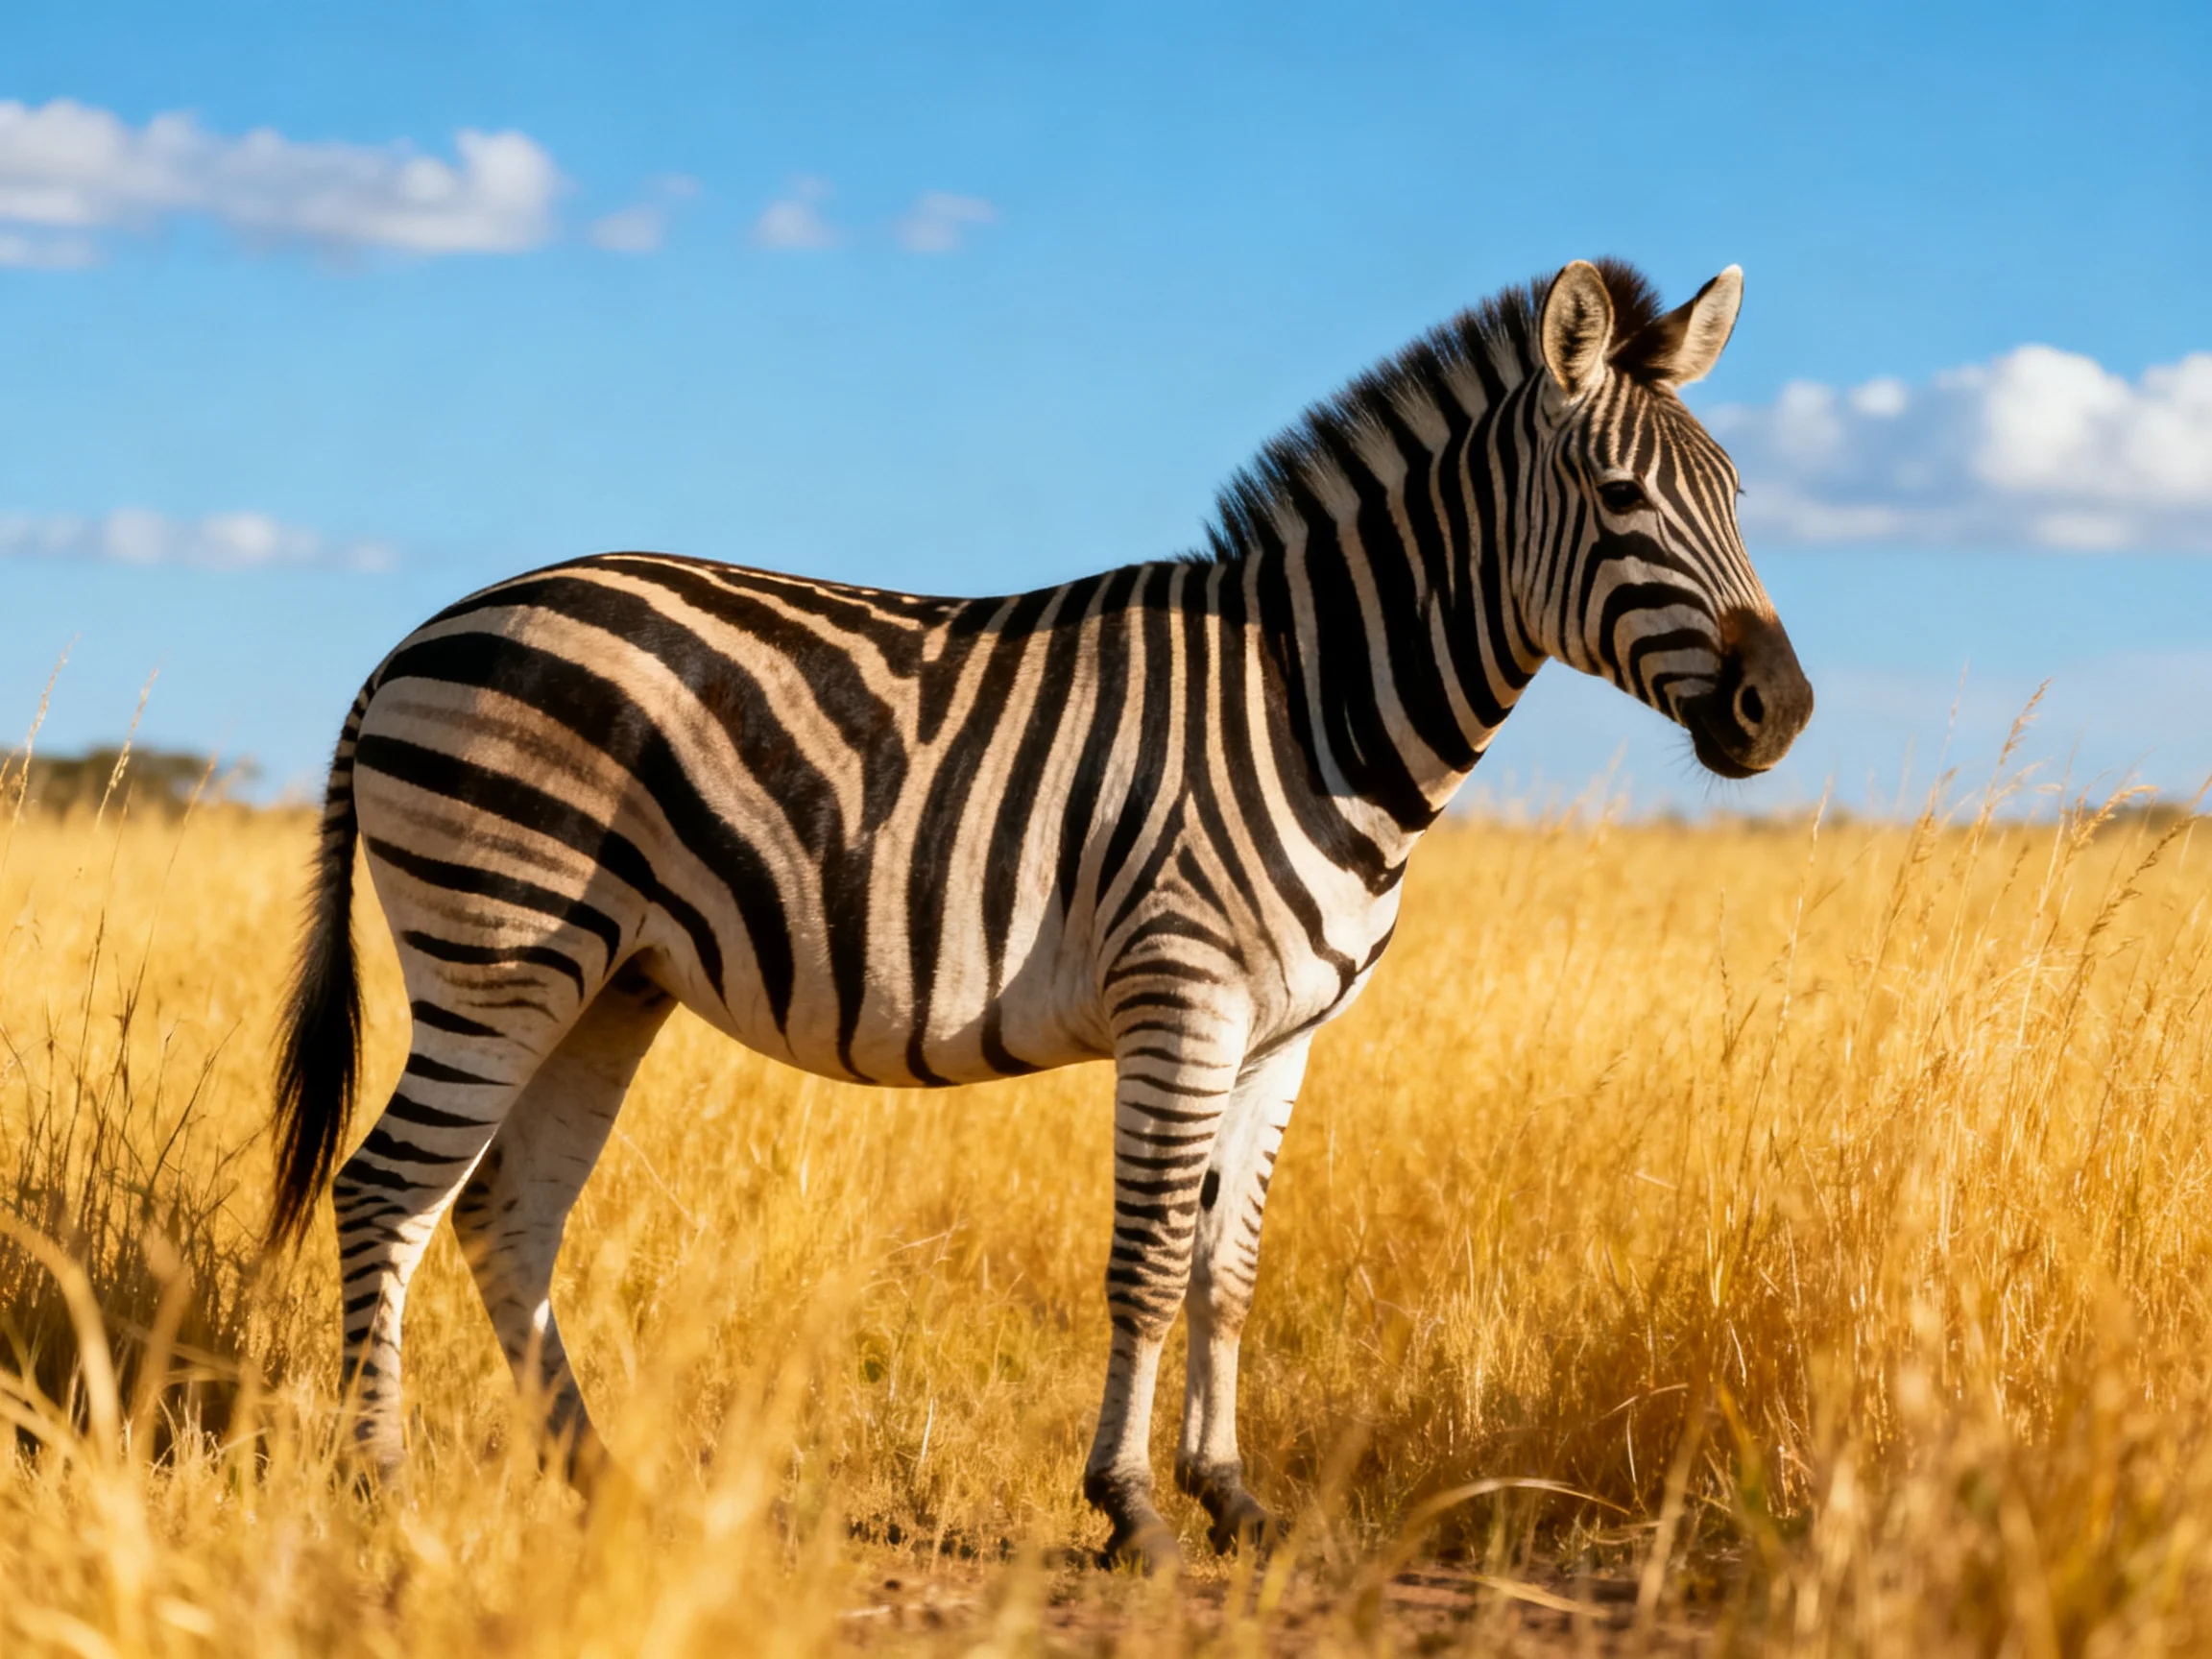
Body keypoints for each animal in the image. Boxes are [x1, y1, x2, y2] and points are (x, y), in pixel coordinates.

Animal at [270, 258, 1811, 1572]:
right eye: (1616, 495)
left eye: (1739, 494)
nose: (1780, 711)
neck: (1316, 707)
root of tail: (418, 638)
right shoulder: (1182, 997)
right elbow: (1147, 1265)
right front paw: (1132, 1511)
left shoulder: (1281, 1038)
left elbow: (1229, 1272)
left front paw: (1234, 1498)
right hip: (499, 953)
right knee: (388, 1190)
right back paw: (382, 1490)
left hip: (610, 979)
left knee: (505, 1214)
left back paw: (602, 1485)